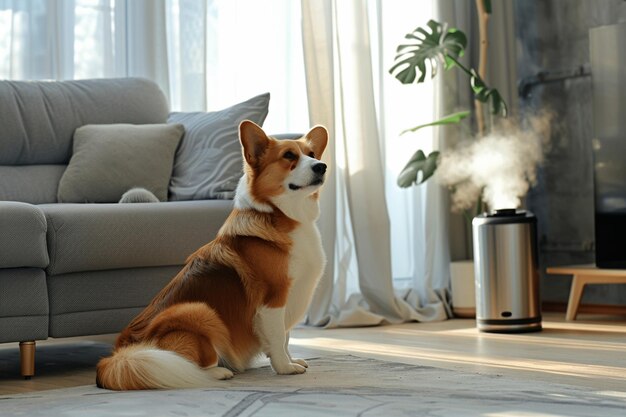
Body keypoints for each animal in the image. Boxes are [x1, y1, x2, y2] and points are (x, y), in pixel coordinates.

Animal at [95, 118, 330, 388]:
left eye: (312, 154)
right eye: (289, 155)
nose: (322, 166)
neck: (284, 215)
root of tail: (120, 353)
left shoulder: (289, 299)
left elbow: (286, 338)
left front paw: (292, 360)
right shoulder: (274, 298)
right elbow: (278, 337)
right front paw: (285, 368)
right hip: (199, 312)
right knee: (184, 367)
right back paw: (219, 372)